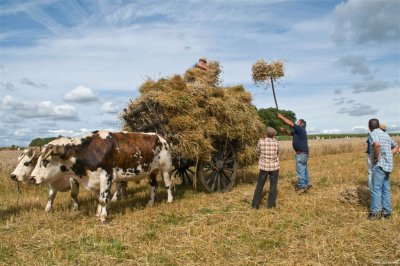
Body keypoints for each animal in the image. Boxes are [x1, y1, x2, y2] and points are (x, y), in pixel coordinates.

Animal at [30, 131, 174, 222]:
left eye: (45, 161)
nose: (31, 178)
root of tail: (161, 136)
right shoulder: (94, 180)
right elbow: (98, 198)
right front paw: (98, 213)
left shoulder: (106, 175)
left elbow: (104, 199)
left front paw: (103, 217)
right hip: (151, 171)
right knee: (153, 186)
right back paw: (150, 203)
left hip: (165, 167)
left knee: (168, 185)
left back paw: (170, 200)